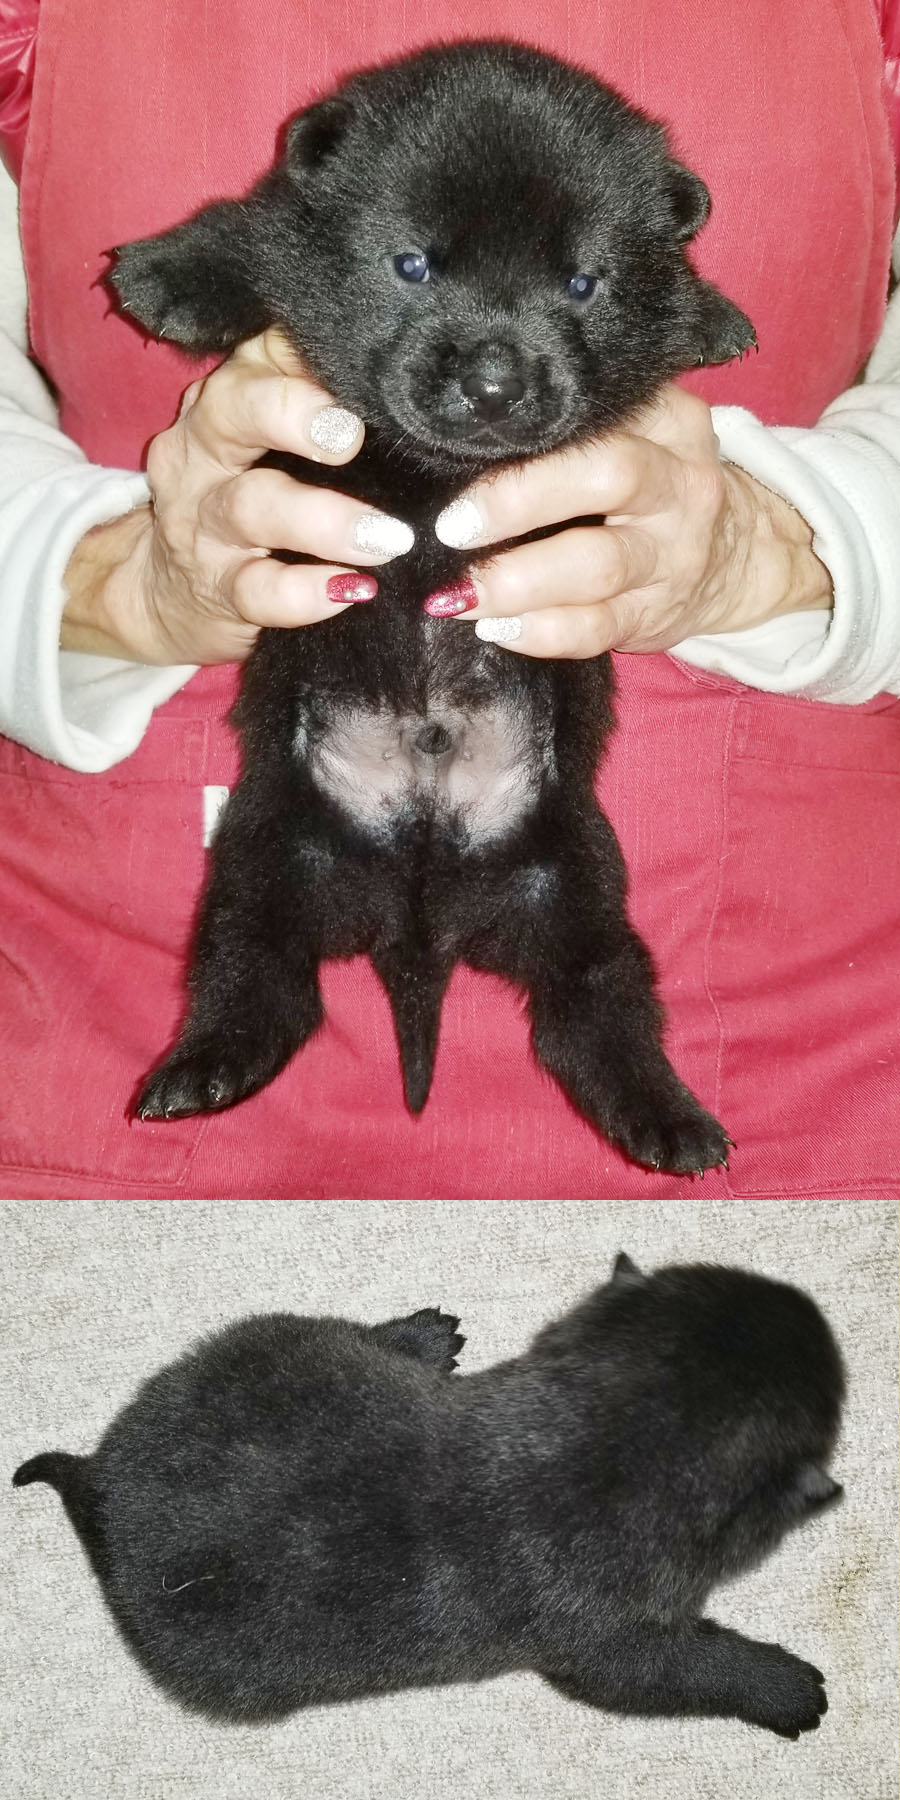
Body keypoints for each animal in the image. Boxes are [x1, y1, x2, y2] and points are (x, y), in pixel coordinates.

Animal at [14, 1255, 843, 1732]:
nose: (810, 1306)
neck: (591, 1437)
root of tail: (97, 1482)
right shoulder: (613, 1644)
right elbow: (690, 1669)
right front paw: (782, 1686)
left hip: (266, 1343)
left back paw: (414, 1338)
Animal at [111, 42, 756, 1172]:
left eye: (582, 283)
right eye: (413, 265)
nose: (494, 382)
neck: (439, 469)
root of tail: (420, 919)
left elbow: (668, 303)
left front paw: (710, 311)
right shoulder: (296, 247)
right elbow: (257, 234)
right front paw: (168, 273)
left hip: (576, 882)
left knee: (597, 1007)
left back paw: (667, 1117)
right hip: (262, 853)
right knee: (256, 972)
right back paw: (200, 1070)